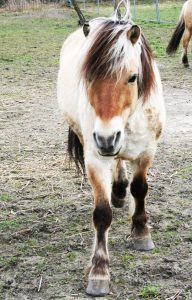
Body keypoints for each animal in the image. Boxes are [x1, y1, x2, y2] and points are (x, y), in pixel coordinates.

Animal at [56, 4, 165, 296]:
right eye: (88, 76)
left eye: (132, 77)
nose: (106, 139)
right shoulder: (95, 158)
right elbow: (102, 214)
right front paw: (99, 272)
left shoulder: (146, 152)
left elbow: (140, 189)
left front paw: (141, 233)